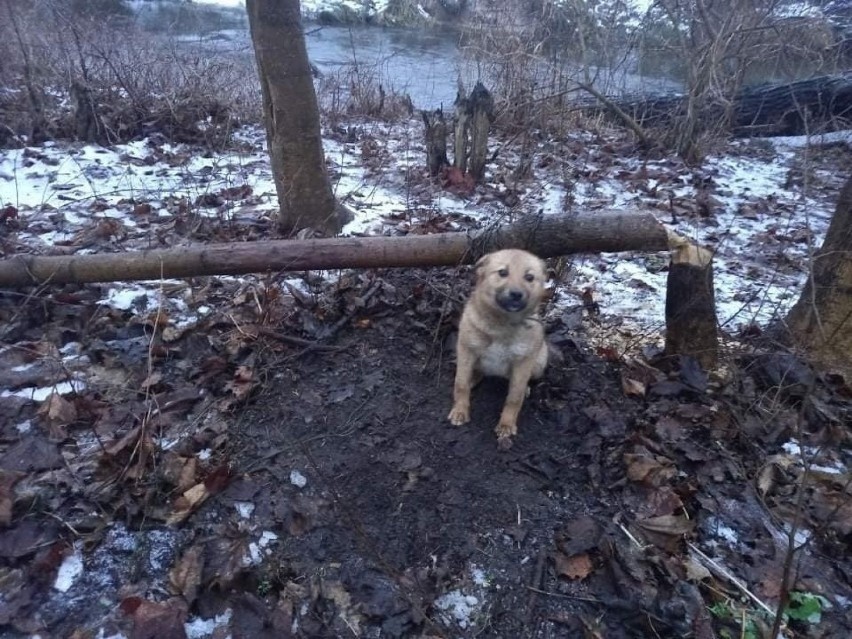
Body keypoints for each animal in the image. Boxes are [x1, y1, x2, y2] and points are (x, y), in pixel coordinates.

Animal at [450, 249, 548, 450]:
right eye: (503, 272)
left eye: (529, 277)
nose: (516, 294)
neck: (501, 324)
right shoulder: (466, 348)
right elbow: (460, 383)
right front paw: (460, 411)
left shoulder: (523, 362)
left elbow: (514, 396)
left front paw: (506, 424)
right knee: (475, 372)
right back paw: (474, 378)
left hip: (539, 362)